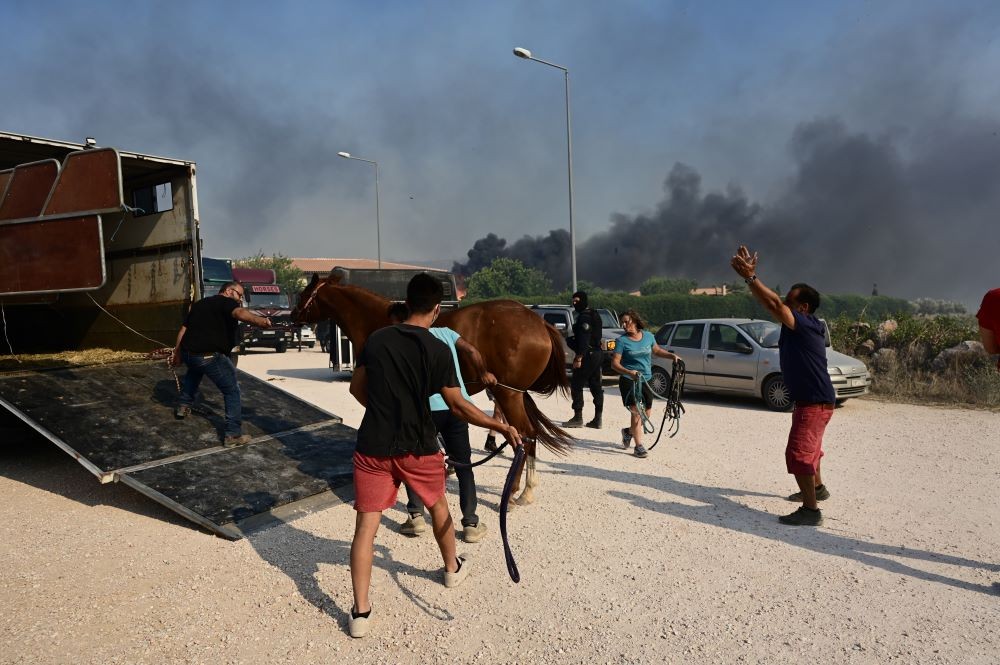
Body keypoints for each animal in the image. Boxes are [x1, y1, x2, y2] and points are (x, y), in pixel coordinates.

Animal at [292, 270, 572, 504]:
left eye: (303, 294)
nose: (293, 315)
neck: (378, 320)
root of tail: (539, 322)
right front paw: (446, 465)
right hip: (514, 395)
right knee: (528, 435)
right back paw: (525, 490)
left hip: (508, 394)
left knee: (522, 436)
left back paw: (515, 491)